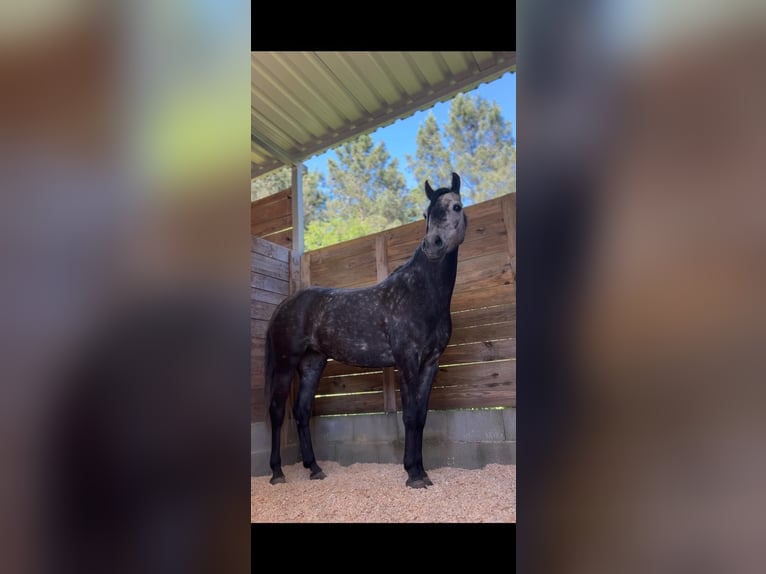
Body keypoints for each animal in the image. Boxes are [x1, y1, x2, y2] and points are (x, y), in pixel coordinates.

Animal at [265, 172, 467, 488]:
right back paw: (277, 473)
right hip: (287, 363)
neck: (419, 293)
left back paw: (314, 468)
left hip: (312, 363)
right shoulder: (407, 362)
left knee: (301, 411)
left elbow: (421, 417)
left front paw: (422, 472)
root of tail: (285, 304)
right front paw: (413, 474)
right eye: (426, 213)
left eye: (456, 207)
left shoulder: (430, 362)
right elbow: (410, 416)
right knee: (276, 411)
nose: (432, 245)